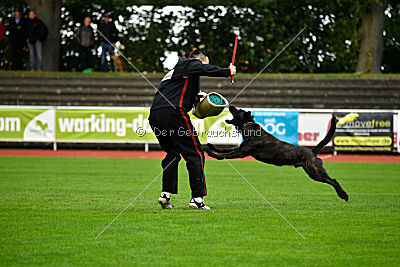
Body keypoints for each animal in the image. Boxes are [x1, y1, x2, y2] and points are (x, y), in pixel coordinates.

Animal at [208, 105, 348, 202]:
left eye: (238, 110)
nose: (231, 106)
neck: (250, 128)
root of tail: (313, 151)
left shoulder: (242, 152)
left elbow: (225, 155)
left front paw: (212, 154)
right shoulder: (240, 148)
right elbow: (224, 150)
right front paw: (211, 146)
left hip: (316, 171)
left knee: (334, 181)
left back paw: (344, 195)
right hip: (312, 173)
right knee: (332, 180)